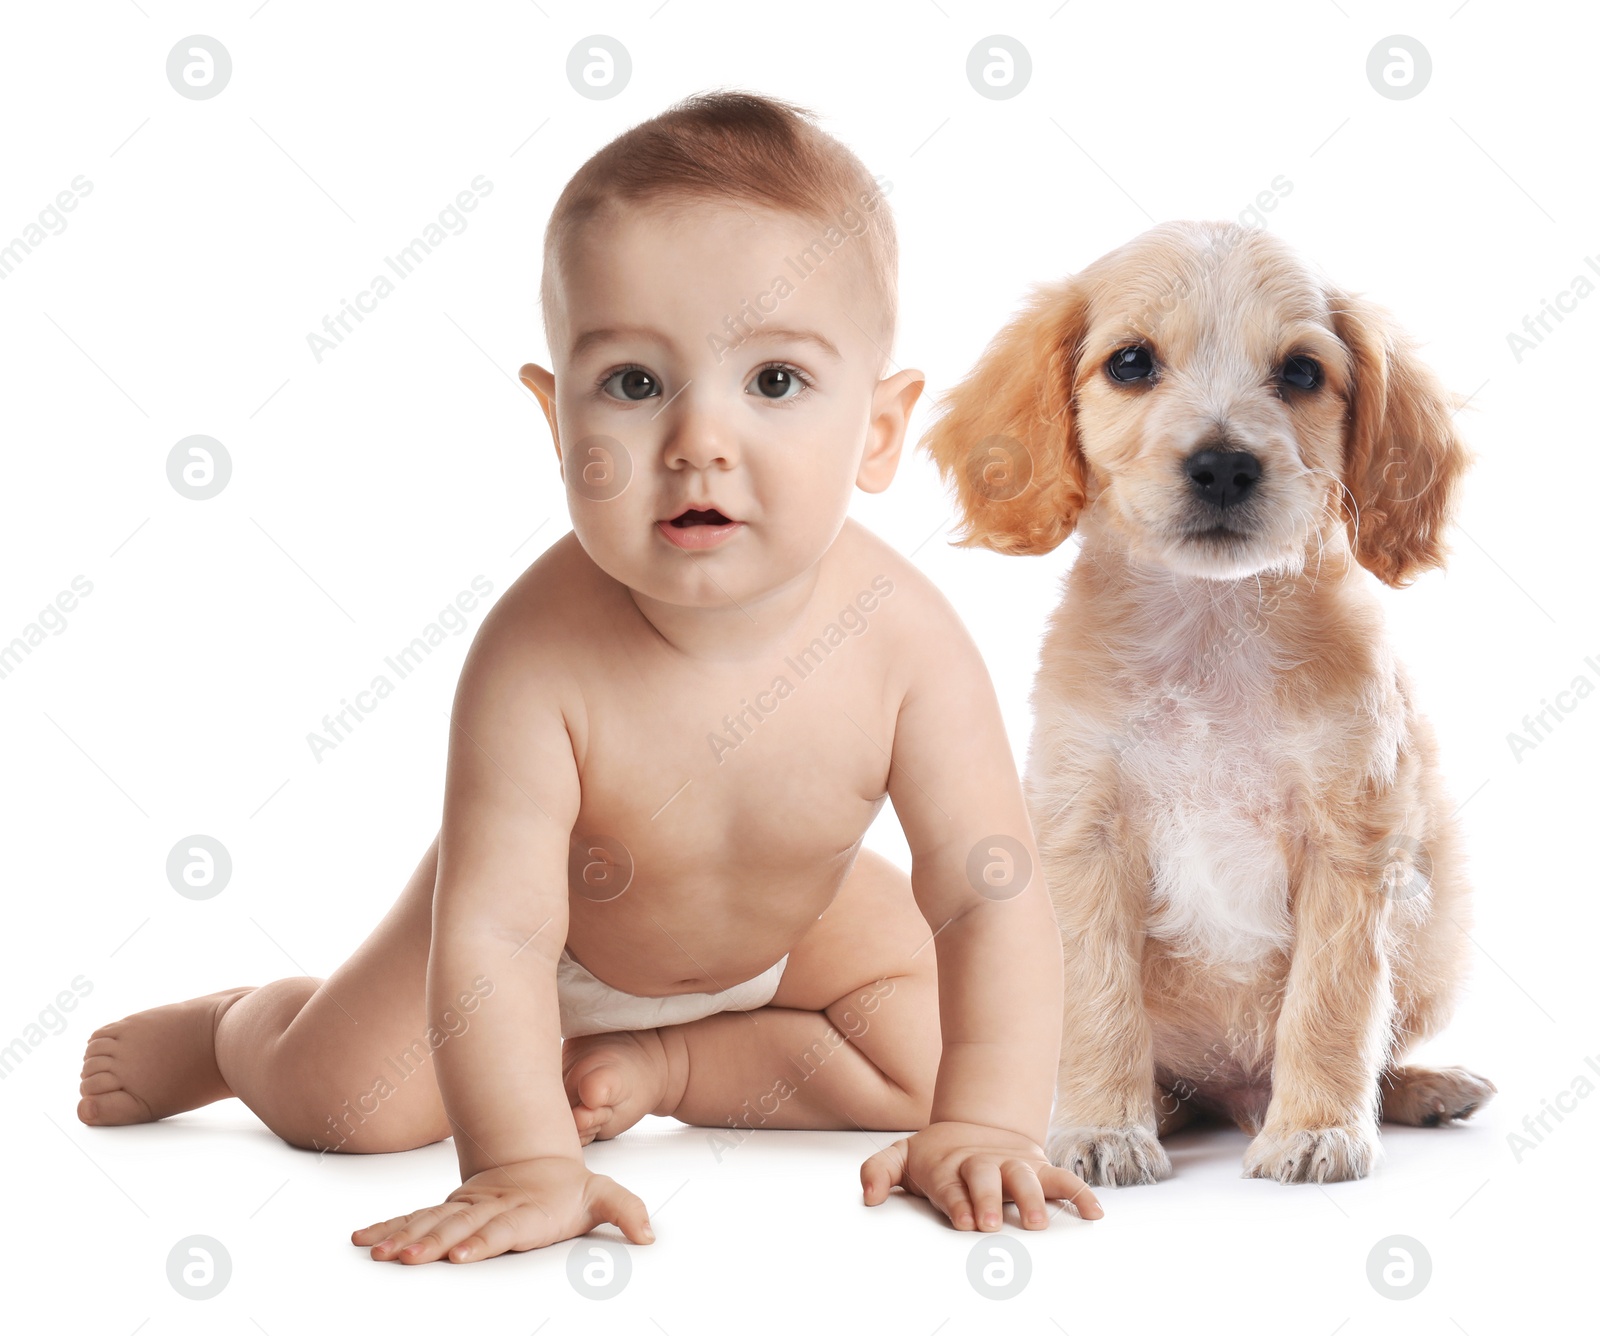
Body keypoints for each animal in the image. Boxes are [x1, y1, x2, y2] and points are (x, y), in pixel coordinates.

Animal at [921, 222, 1491, 1190]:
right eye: (1130, 362)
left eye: (1301, 372)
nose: (1223, 464)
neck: (1211, 627)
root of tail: (1233, 1093)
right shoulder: (1085, 838)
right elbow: (1100, 1002)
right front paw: (1103, 1127)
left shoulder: (1353, 839)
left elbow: (1332, 1003)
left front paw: (1317, 1130)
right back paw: (1153, 1107)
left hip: (1437, 937)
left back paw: (1419, 1089)